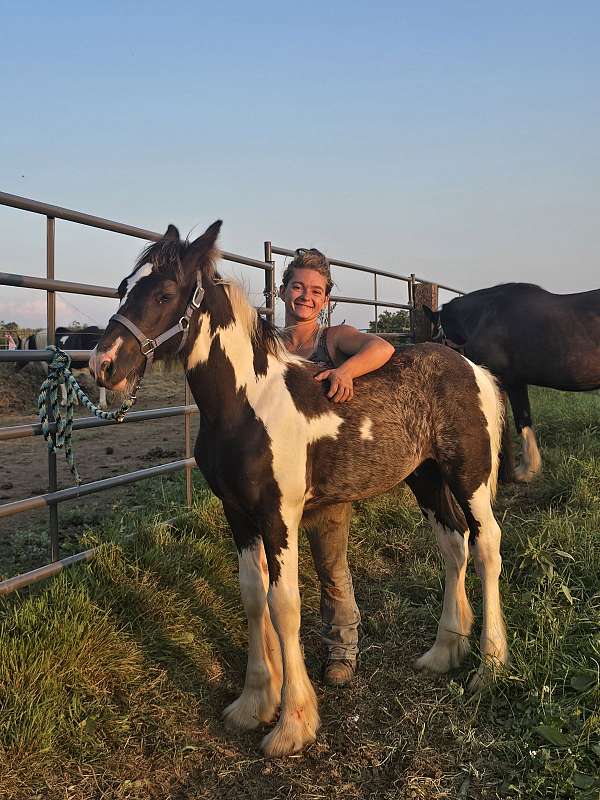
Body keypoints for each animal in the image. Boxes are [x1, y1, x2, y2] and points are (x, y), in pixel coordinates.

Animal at [90, 221, 507, 757]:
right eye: (124, 287)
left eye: (164, 293)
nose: (103, 366)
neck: (246, 403)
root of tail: (474, 370)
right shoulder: (238, 514)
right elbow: (252, 595)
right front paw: (253, 703)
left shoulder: (278, 517)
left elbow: (283, 604)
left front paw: (292, 723)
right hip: (427, 478)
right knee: (453, 544)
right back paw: (444, 650)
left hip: (468, 477)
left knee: (487, 544)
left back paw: (490, 666)